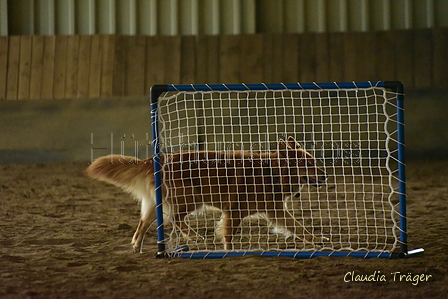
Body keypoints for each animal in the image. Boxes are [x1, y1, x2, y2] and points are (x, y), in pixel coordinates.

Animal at [86, 138, 326, 253]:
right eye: (308, 163)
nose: (324, 176)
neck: (272, 172)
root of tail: (159, 159)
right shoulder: (235, 211)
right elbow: (229, 234)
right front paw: (229, 251)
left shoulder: (275, 211)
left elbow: (299, 227)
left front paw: (316, 240)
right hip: (190, 198)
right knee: (175, 218)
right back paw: (192, 236)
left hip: (160, 204)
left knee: (143, 224)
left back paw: (137, 246)